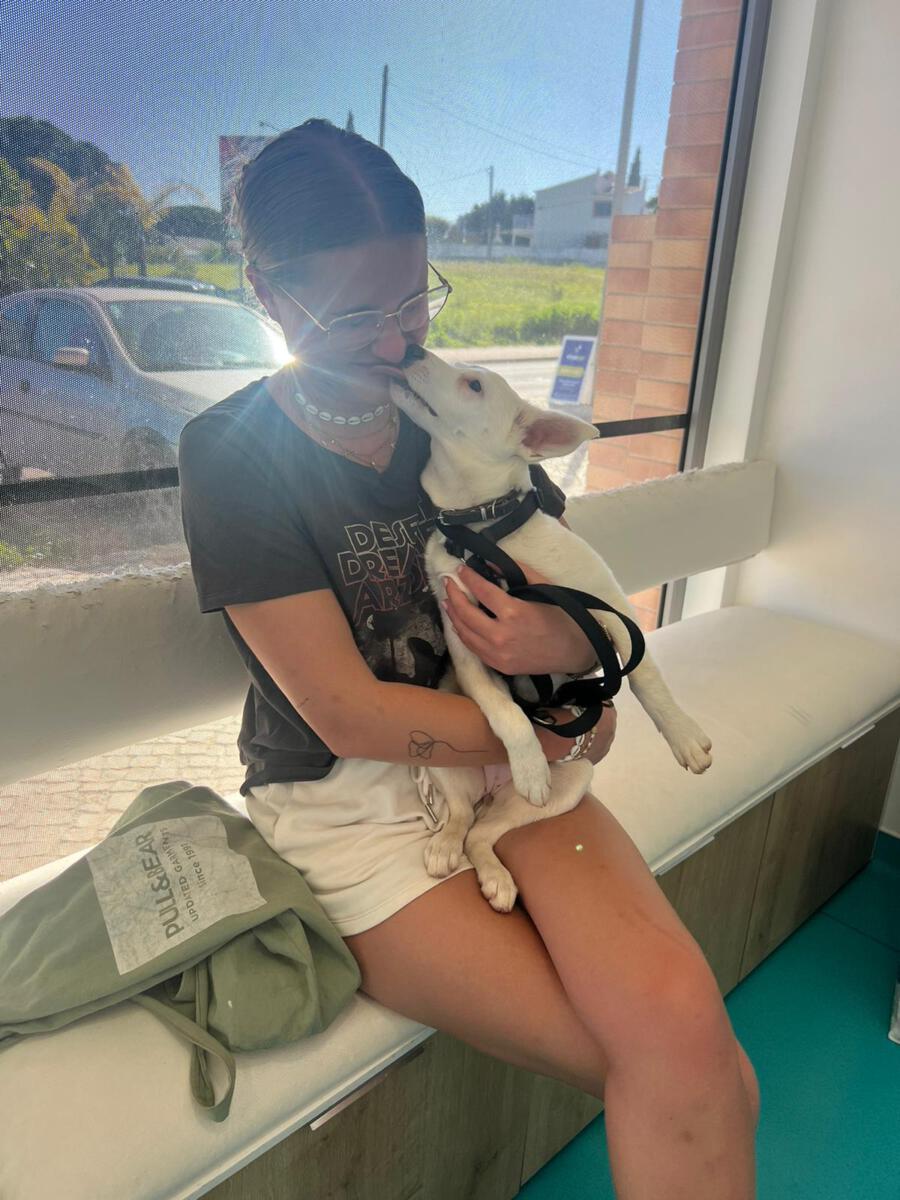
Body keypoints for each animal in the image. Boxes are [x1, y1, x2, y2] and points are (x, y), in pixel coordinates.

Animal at [373, 348, 713, 912]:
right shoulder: (467, 647)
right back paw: (452, 848)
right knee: (464, 822)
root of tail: (492, 789)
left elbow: (646, 677)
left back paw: (494, 875)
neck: (481, 532)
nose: (410, 352)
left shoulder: (606, 603)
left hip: (574, 779)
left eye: (473, 384)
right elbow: (505, 710)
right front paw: (530, 763)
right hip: (452, 767)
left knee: (483, 834)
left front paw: (683, 737)